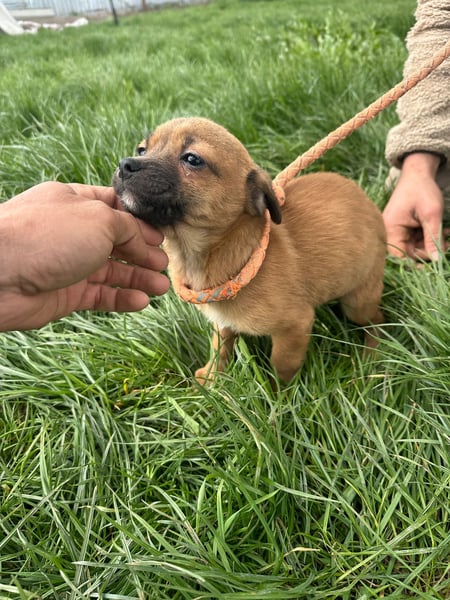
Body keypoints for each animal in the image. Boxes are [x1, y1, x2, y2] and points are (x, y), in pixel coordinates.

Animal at [113, 117, 386, 383]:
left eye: (192, 159)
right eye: (142, 149)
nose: (125, 165)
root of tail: (370, 205)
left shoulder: (295, 326)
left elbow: (281, 368)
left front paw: (277, 396)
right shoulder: (222, 323)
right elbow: (219, 348)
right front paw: (211, 379)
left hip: (358, 302)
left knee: (377, 321)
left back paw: (371, 356)